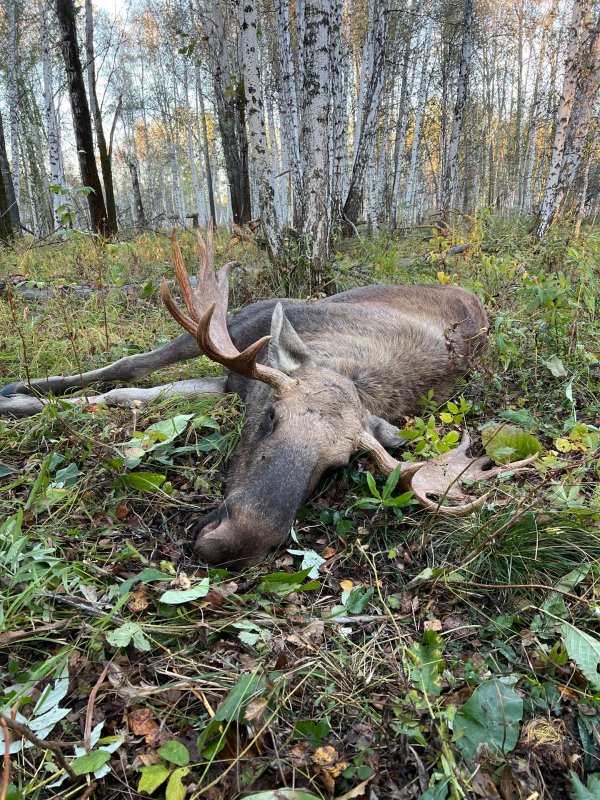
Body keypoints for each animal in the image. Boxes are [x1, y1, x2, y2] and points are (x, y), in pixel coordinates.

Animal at [0, 227, 534, 569]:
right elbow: (126, 372)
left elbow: (130, 393)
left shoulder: (231, 380)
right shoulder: (235, 331)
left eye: (335, 467)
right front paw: (20, 394)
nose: (232, 543)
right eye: (272, 417)